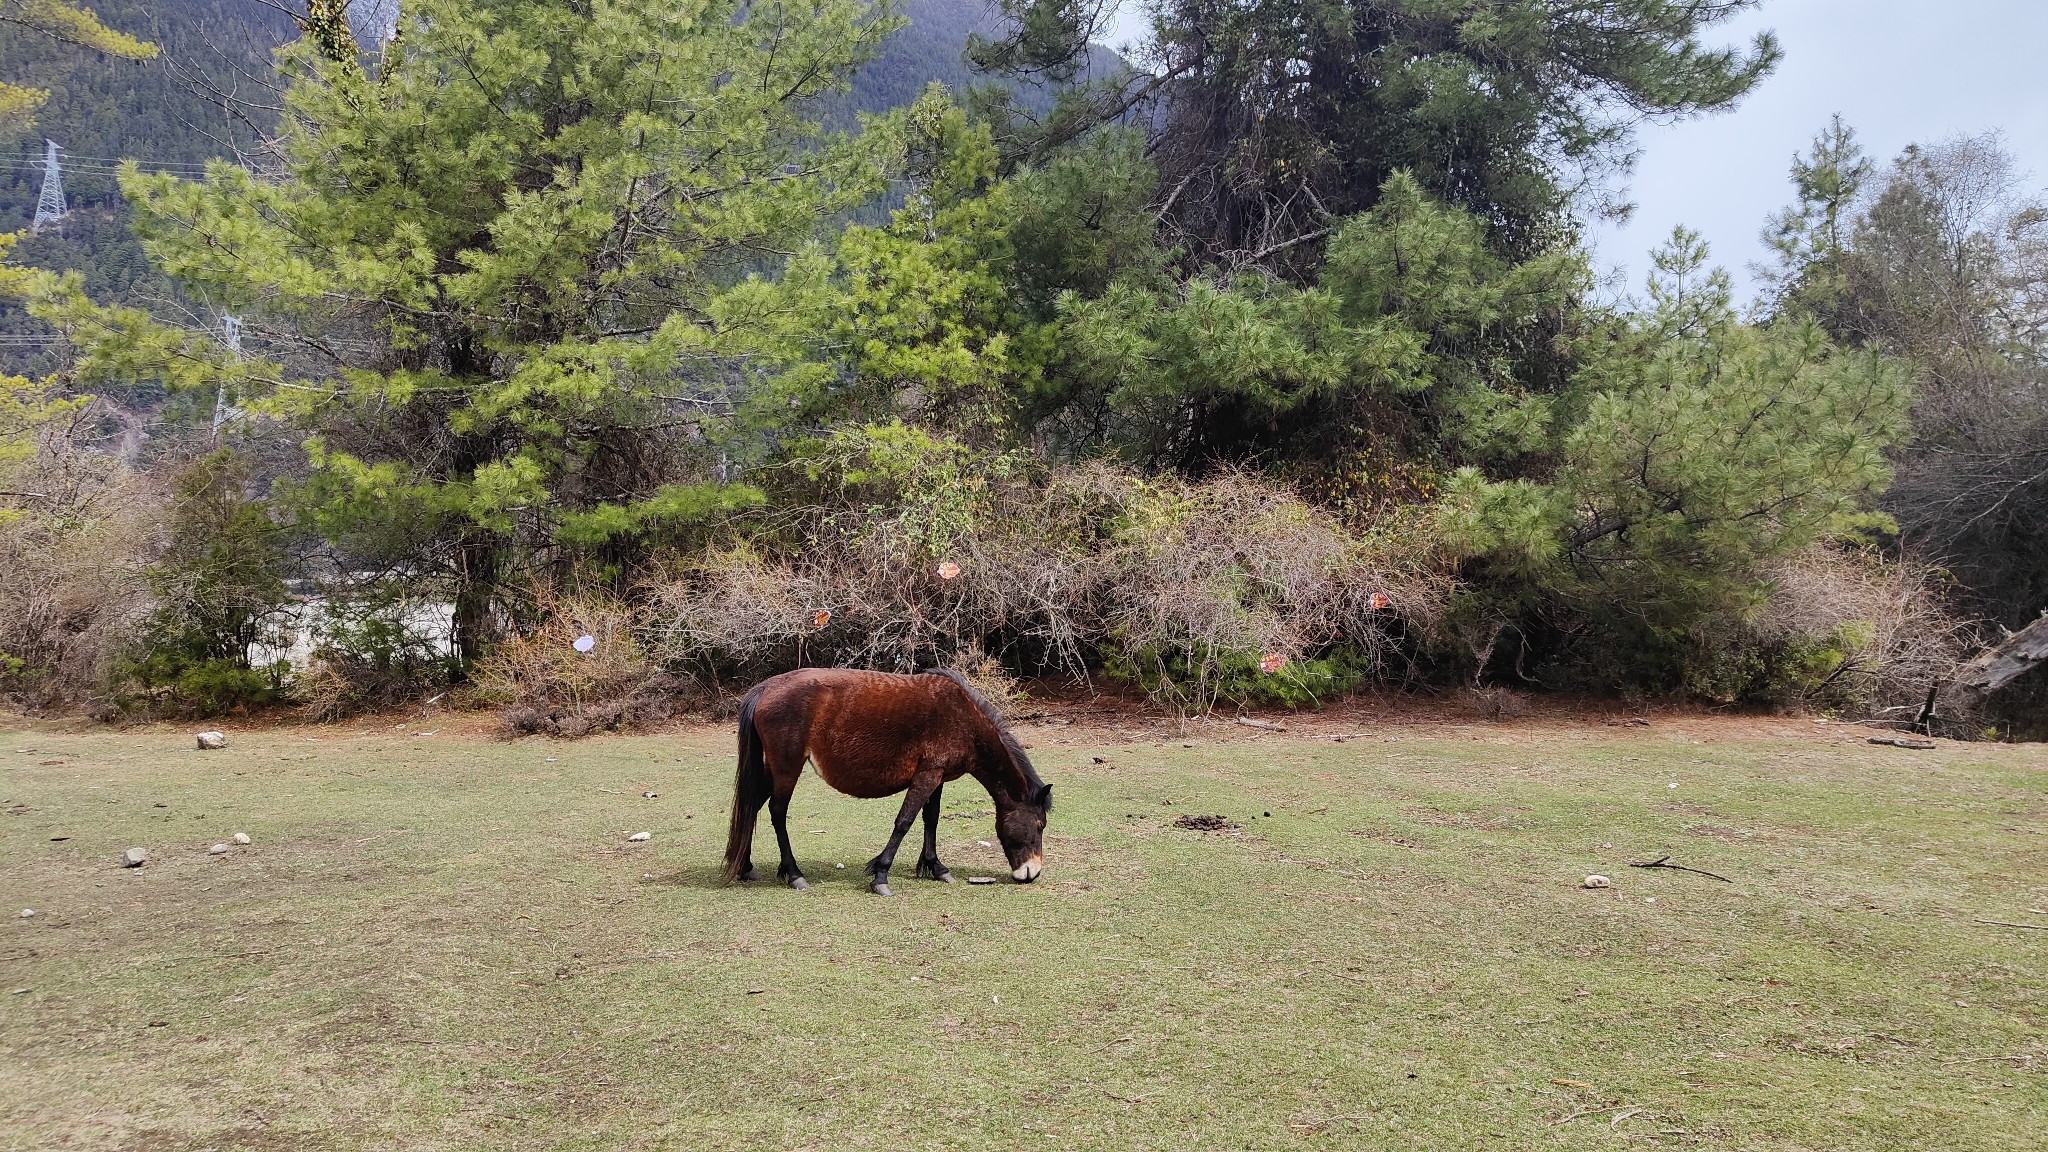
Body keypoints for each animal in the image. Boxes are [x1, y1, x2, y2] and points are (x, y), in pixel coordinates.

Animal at [720, 664, 1048, 897]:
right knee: (777, 812)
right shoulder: (927, 775)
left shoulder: (936, 777)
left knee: (751, 806)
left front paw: (936, 867)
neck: (963, 717)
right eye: (1039, 825)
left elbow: (931, 820)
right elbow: (904, 822)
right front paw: (881, 876)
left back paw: (745, 866)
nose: (1032, 872)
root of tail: (767, 687)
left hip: (774, 770)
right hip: (787, 768)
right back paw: (794, 874)